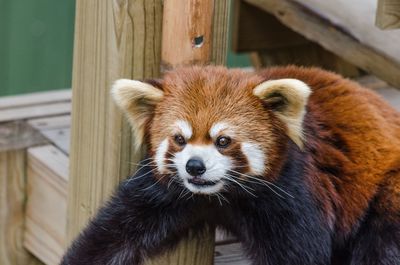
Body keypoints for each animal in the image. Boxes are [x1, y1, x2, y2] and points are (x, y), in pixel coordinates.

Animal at [61, 66, 400, 264]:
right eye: (179, 139)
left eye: (222, 140)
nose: (194, 167)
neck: (223, 195)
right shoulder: (163, 192)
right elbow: (114, 233)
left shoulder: (294, 192)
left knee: (383, 244)